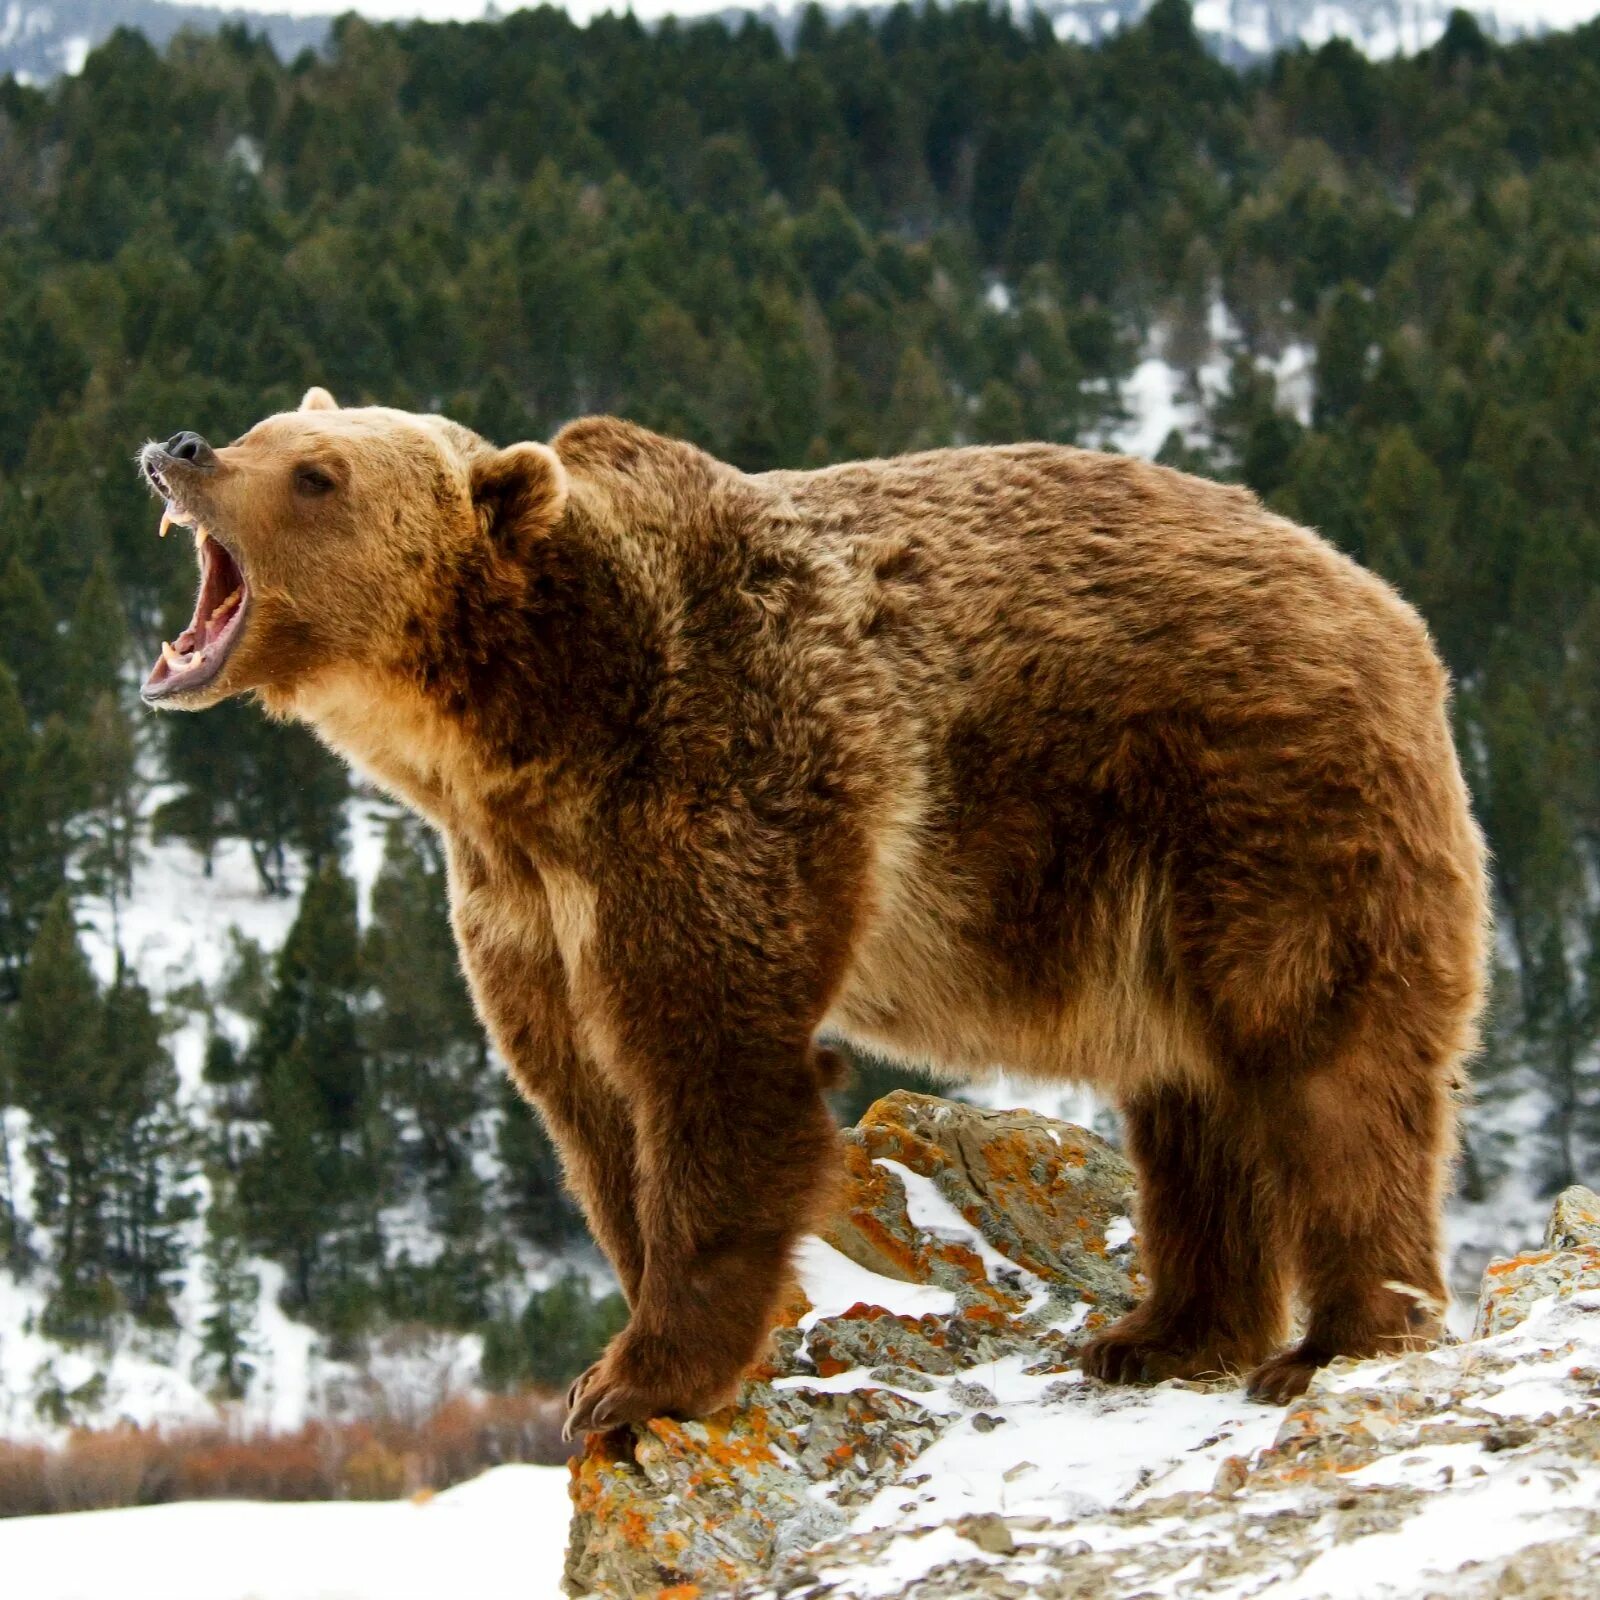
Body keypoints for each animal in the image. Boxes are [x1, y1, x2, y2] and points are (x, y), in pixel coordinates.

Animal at [134, 390, 1484, 1440]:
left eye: (317, 473)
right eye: (269, 426)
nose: (182, 446)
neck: (523, 735)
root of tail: (1391, 609)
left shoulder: (718, 784)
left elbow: (715, 1070)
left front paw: (635, 1382)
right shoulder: (521, 897)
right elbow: (588, 1106)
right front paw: (617, 1351)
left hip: (1260, 799)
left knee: (1324, 1062)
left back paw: (1337, 1338)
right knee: (1192, 1096)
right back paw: (1162, 1330)